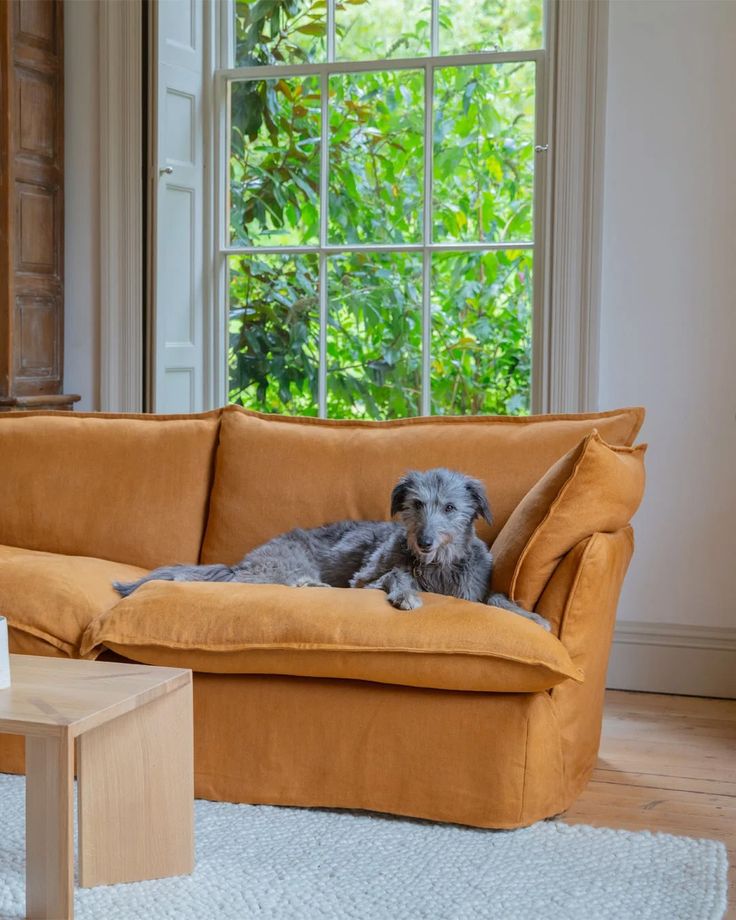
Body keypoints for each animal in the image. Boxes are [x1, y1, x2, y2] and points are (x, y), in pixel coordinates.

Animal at [113, 468, 552, 632]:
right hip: (281, 566)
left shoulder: (473, 591)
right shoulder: (365, 580)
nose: (423, 541)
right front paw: (406, 595)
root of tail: (241, 562)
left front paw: (529, 615)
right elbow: (395, 573)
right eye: (415, 504)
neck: (436, 567)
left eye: (449, 508)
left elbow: (495, 597)